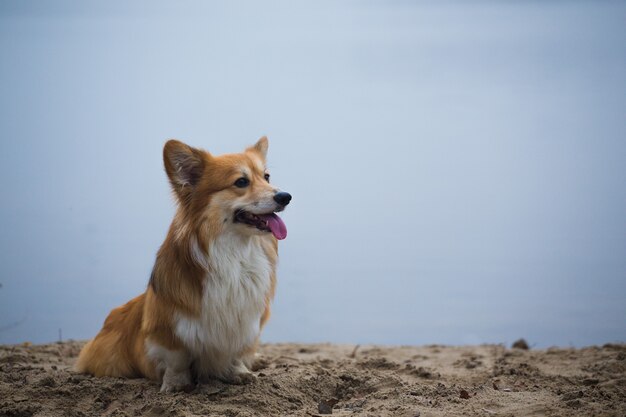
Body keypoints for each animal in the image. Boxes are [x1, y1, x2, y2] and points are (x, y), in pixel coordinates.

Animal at [75, 136, 290, 390]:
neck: (235, 254)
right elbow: (176, 358)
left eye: (267, 177)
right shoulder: (168, 329)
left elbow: (237, 353)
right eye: (241, 182)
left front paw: (239, 371)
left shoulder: (246, 324)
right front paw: (177, 384)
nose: (285, 196)